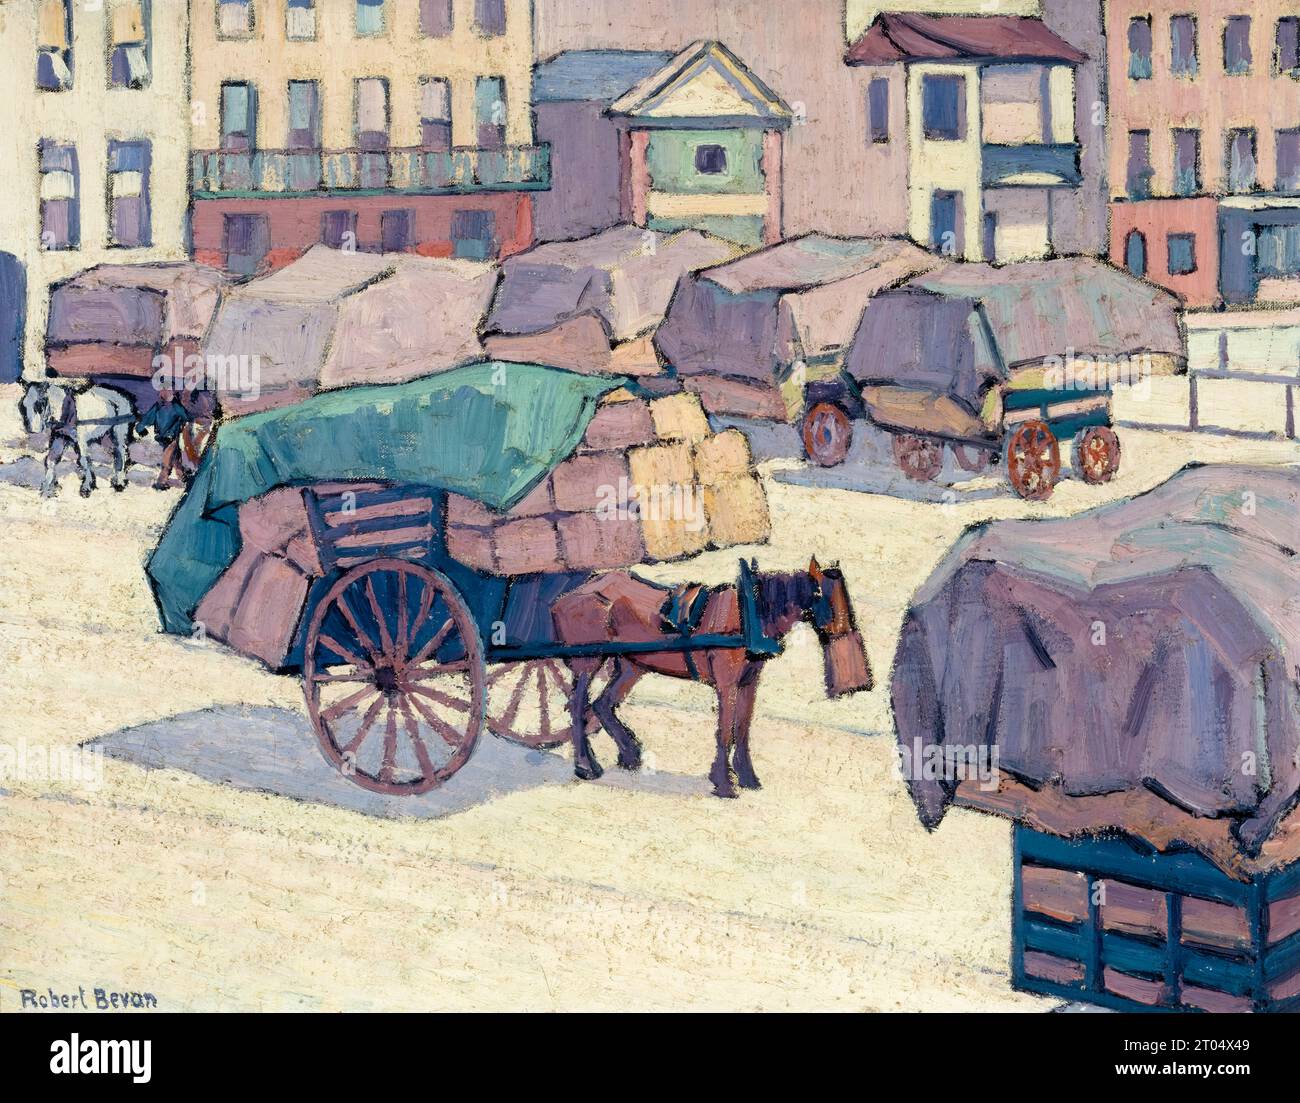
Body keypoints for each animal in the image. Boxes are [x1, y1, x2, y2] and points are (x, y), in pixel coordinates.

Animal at [551, 559, 873, 790]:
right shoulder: (727, 685)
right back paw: (585, 765)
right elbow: (725, 730)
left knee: (602, 704)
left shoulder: (748, 683)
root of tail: (568, 595)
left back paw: (629, 753)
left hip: (633, 665)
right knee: (578, 706)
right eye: (823, 596)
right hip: (588, 661)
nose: (858, 677)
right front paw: (723, 782)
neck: (749, 614)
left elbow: (742, 730)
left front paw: (747, 777)